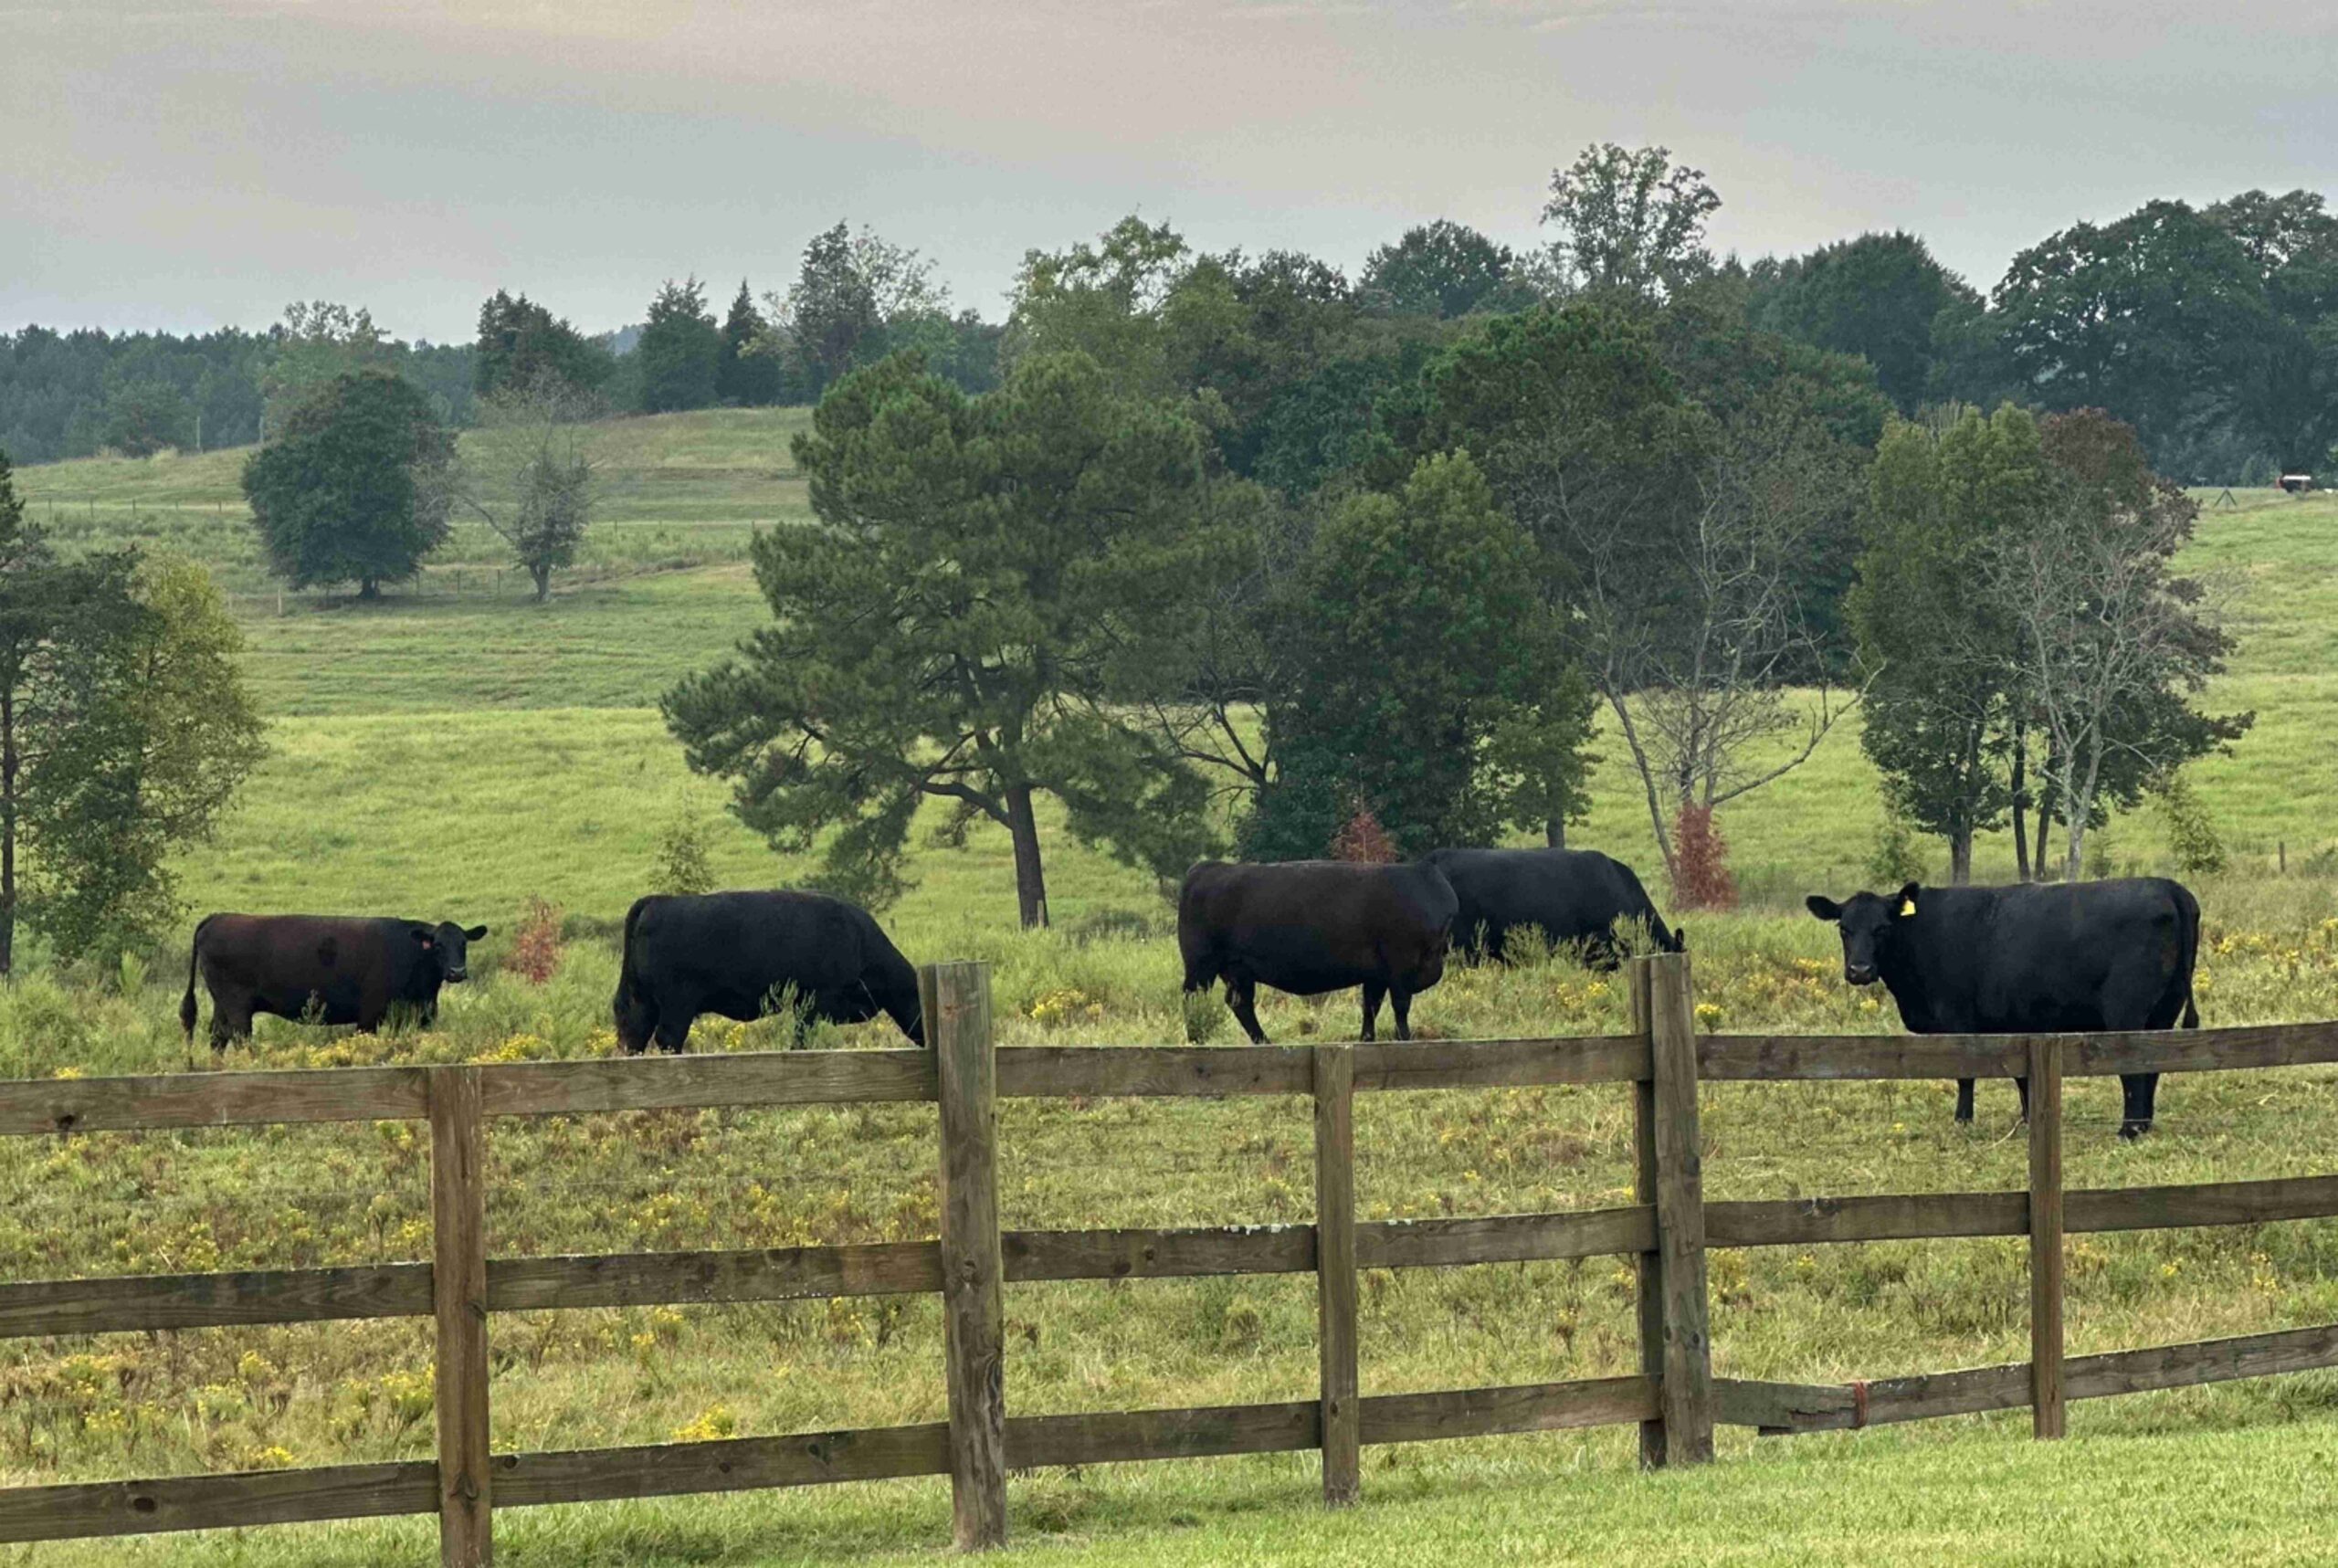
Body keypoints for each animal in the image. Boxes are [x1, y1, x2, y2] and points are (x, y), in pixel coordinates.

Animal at [183, 906, 493, 1056]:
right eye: (437, 946)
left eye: (463, 943)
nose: (457, 972)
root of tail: (218, 917)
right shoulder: (369, 1014)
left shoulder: (422, 1015)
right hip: (236, 1004)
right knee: (240, 1037)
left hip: (222, 1003)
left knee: (217, 1037)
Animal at [612, 897, 921, 1056]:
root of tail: (660, 901)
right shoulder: (815, 999)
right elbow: (801, 1038)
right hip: (677, 1003)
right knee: (668, 1038)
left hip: (644, 1002)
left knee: (636, 1035)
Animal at [1178, 859, 1449, 1042]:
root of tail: (1209, 868)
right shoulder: (1401, 963)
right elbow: (1400, 1006)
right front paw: (1405, 1038)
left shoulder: (1377, 973)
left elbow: (1371, 1006)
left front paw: (1367, 1039)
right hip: (1201, 964)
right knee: (1193, 997)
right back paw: (1196, 1037)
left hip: (1238, 969)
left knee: (1240, 1003)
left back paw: (1263, 1041)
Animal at [1805, 879, 2206, 1135]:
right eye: (1843, 928)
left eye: (1883, 928)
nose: (1859, 970)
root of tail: (2167, 886)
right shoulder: (2016, 1022)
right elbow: (2021, 1077)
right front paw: (2029, 1121)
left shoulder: (1958, 1020)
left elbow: (1965, 1075)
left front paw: (1963, 1122)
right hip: (2164, 1009)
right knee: (2152, 1067)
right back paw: (2144, 1125)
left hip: (2127, 1011)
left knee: (2133, 1069)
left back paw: (2129, 1129)